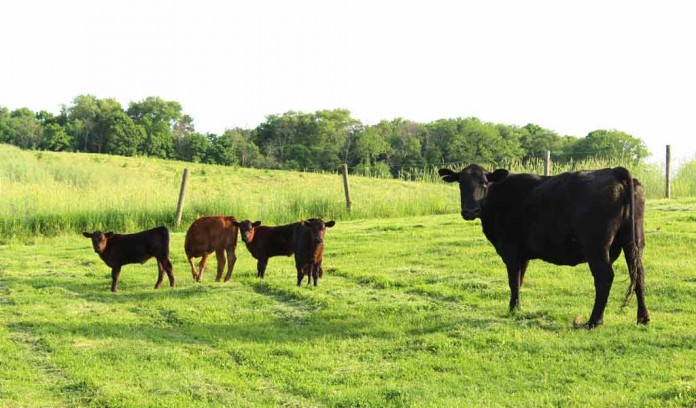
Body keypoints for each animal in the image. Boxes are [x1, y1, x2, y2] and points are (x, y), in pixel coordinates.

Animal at [439, 164, 650, 328]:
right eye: (461, 183)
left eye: (484, 183)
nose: (470, 211)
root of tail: (614, 171)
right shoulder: (523, 254)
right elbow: (519, 280)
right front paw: (516, 309)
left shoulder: (510, 250)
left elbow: (513, 281)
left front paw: (512, 309)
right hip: (633, 242)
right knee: (638, 274)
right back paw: (643, 318)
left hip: (596, 246)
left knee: (605, 277)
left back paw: (593, 321)